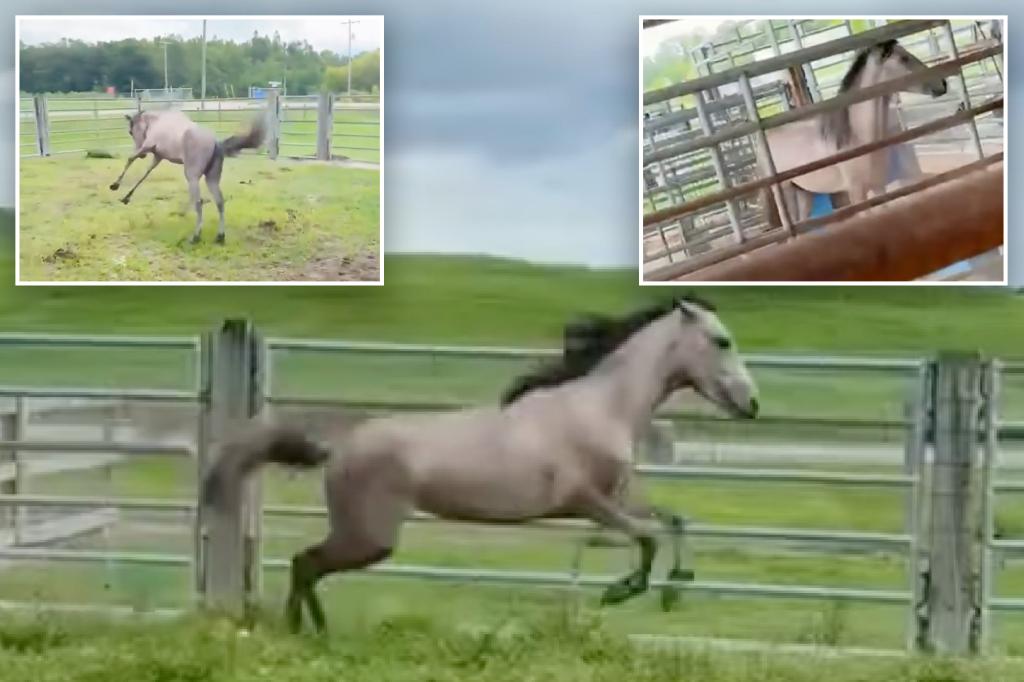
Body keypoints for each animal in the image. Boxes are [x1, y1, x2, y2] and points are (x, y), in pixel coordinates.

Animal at [109, 109, 266, 244]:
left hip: (192, 176)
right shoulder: (158, 156)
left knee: (198, 202)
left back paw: (195, 236)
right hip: (212, 179)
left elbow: (130, 159)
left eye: (131, 131)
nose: (143, 156)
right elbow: (145, 173)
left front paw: (115, 185)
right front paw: (126, 197)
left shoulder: (148, 146)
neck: (157, 122)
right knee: (219, 201)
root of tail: (216, 142)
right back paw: (220, 237)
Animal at [202, 297, 760, 633]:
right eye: (722, 340)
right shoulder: (586, 502)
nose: (752, 404)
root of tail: (337, 449)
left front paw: (675, 589)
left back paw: (312, 632)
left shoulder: (619, 496)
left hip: (364, 537)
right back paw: (306, 632)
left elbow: (674, 521)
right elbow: (649, 537)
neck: (602, 407)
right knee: (306, 563)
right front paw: (621, 592)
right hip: (371, 537)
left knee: (307, 566)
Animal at [763, 39, 948, 225]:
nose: (943, 83)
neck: (859, 137)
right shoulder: (857, 193)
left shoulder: (878, 186)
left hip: (804, 192)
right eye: (904, 58)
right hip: (786, 193)